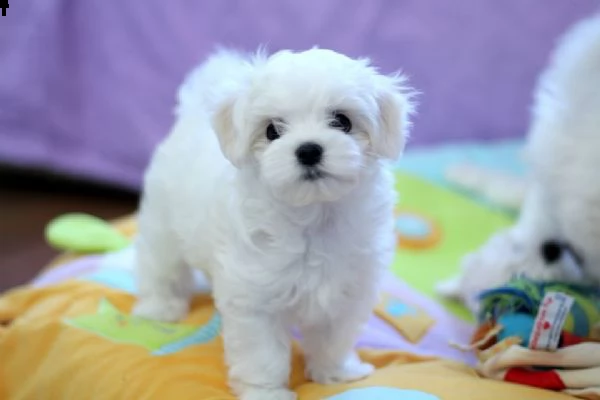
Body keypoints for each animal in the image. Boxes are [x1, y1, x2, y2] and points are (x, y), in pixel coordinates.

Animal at [132, 47, 412, 400]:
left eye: (342, 121)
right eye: (272, 131)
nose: (308, 150)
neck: (313, 216)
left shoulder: (348, 290)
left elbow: (335, 338)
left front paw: (337, 373)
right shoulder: (255, 300)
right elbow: (262, 354)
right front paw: (266, 392)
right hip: (163, 222)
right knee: (160, 266)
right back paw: (161, 307)